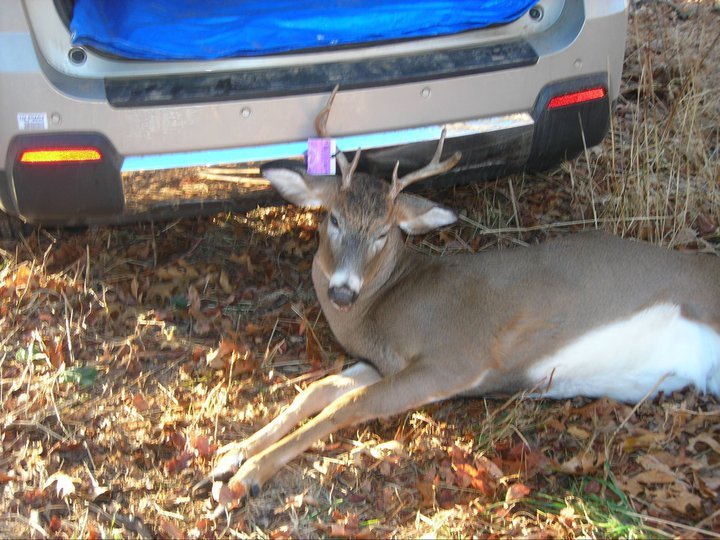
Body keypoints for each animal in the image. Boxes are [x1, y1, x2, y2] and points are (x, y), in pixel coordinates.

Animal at [193, 86, 720, 515]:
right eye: (333, 219)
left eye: (384, 232)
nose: (343, 291)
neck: (385, 304)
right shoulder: (382, 361)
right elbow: (316, 391)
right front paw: (232, 453)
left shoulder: (455, 357)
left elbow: (348, 405)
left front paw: (243, 480)